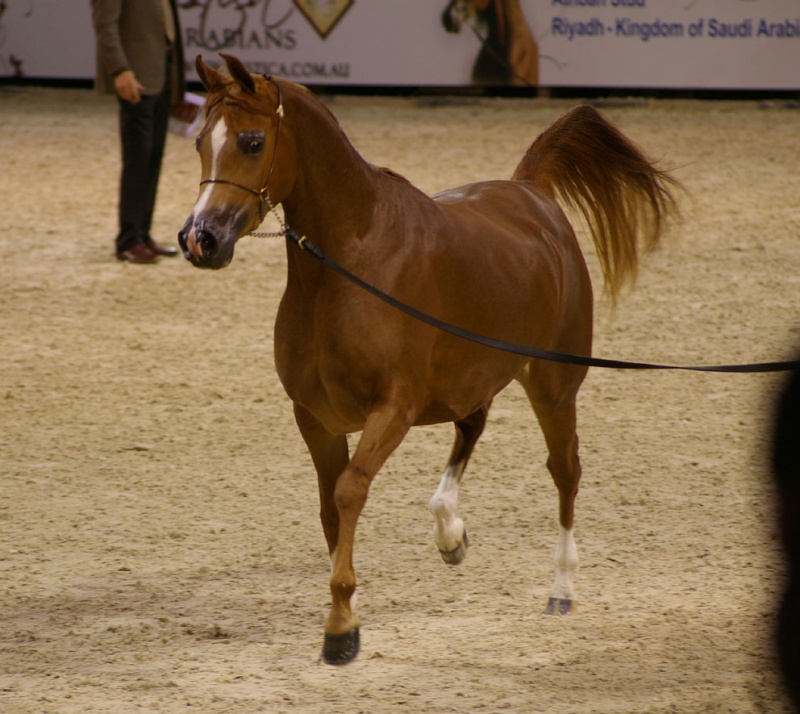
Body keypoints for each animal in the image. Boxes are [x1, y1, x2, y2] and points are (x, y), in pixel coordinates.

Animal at [178, 54, 680, 660]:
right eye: (200, 141)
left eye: (252, 142)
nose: (200, 239)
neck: (351, 263)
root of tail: (531, 192)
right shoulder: (316, 418)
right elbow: (329, 506)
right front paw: (348, 609)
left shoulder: (393, 410)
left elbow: (350, 490)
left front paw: (340, 627)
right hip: (473, 379)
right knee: (472, 428)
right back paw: (450, 534)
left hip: (553, 386)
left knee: (565, 470)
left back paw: (561, 587)